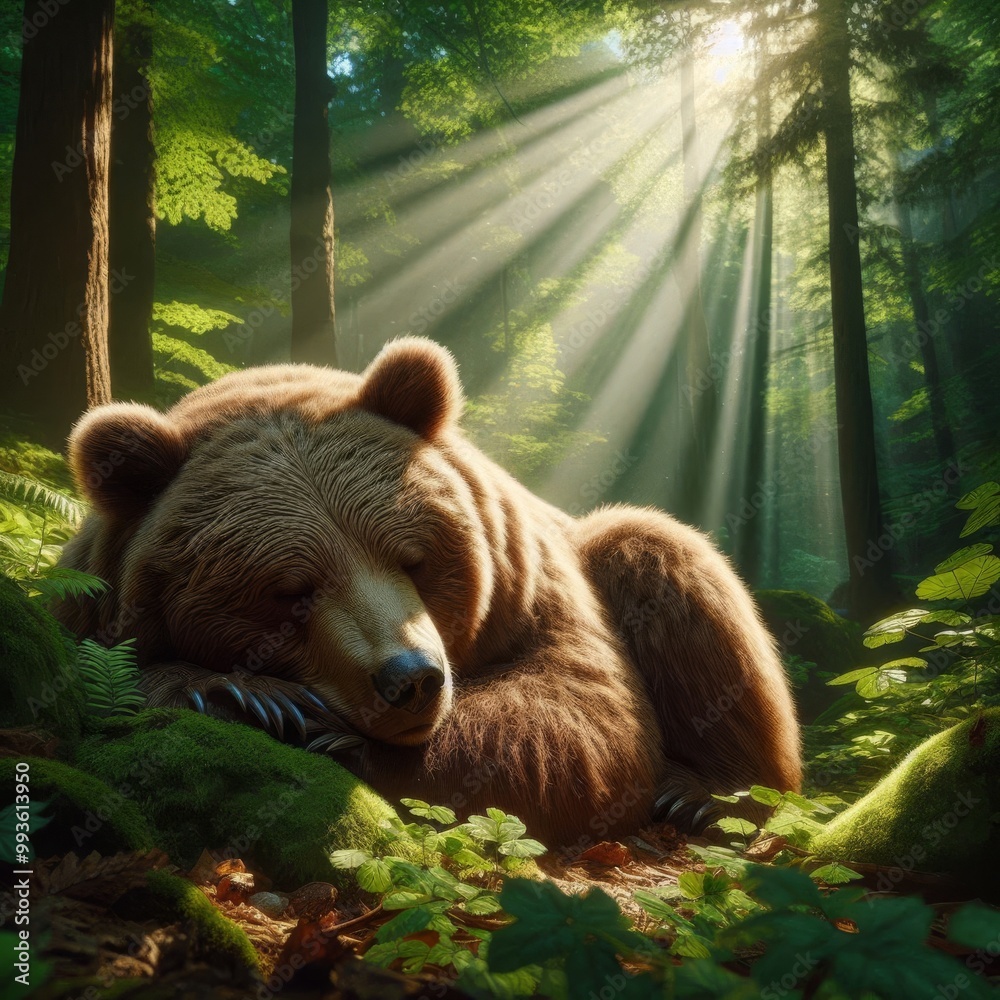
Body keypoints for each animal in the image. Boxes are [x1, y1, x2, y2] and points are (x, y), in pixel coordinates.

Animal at [55, 337, 801, 847]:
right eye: (290, 593)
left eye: (411, 558)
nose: (410, 678)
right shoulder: (85, 602)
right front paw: (244, 696)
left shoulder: (535, 589)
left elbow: (577, 711)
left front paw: (337, 738)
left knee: (665, 562)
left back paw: (699, 793)